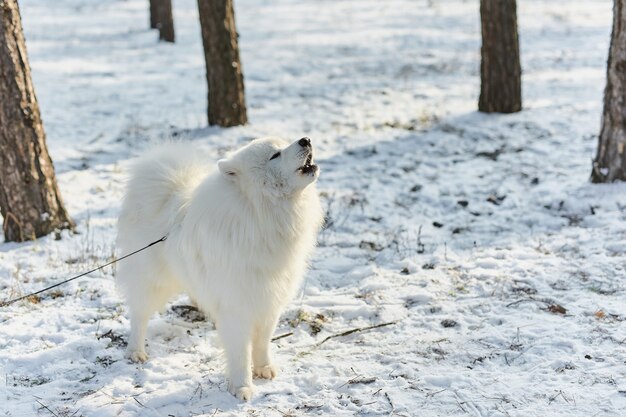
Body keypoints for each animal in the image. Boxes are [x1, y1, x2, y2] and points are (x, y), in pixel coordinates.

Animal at [114, 136, 324, 400]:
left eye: (286, 142)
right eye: (274, 155)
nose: (306, 140)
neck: (260, 213)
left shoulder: (269, 299)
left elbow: (263, 341)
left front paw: (264, 368)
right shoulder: (237, 307)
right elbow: (240, 352)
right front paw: (242, 387)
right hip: (151, 281)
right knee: (139, 316)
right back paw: (135, 351)